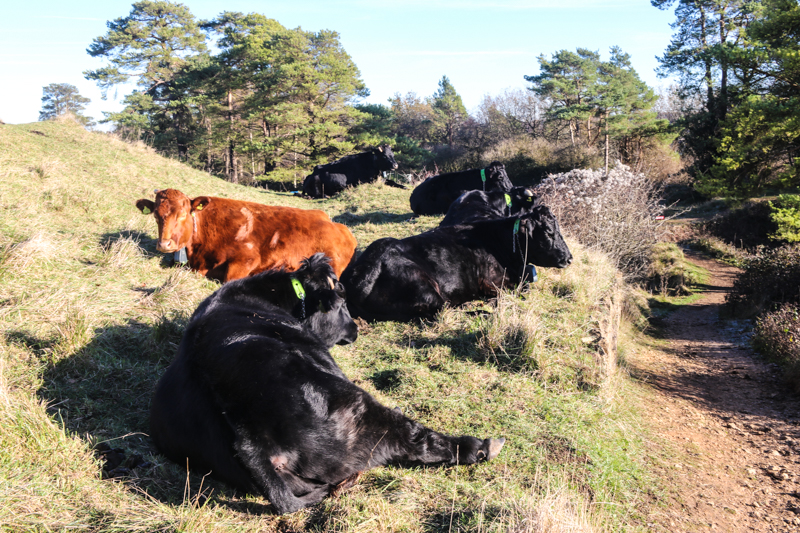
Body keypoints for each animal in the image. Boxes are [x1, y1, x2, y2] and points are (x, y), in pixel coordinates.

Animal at [149, 254, 505, 515]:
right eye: (343, 306)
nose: (356, 328)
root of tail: (248, 440)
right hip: (361, 411)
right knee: (420, 438)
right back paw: (481, 446)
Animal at [342, 206, 572, 322]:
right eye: (549, 232)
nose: (569, 258)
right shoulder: (491, 282)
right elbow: (519, 290)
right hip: (423, 286)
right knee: (443, 311)